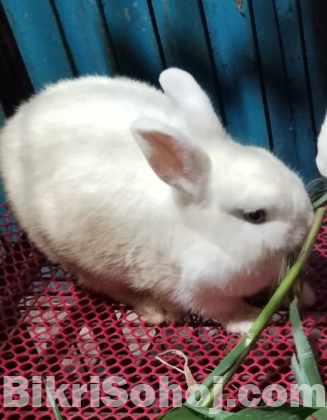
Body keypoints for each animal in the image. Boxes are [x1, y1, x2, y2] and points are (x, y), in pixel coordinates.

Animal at [0, 69, 316, 334]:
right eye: (255, 215)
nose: (310, 220)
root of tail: (14, 126)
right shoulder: (194, 290)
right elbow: (225, 310)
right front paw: (251, 322)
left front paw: (306, 295)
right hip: (72, 256)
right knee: (104, 284)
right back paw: (156, 310)